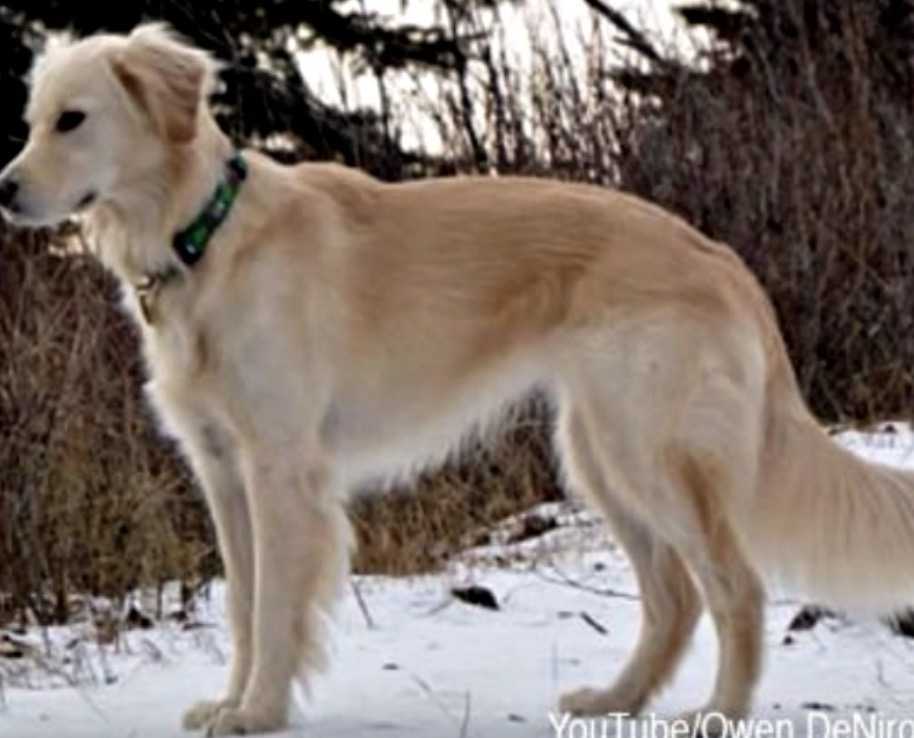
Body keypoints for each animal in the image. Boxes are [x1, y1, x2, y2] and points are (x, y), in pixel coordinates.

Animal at [3, 20, 908, 732]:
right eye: (32, 121)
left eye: (73, 121)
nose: (4, 191)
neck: (205, 236)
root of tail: (721, 258)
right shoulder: (223, 470)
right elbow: (244, 603)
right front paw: (231, 704)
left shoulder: (280, 469)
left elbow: (277, 608)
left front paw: (258, 712)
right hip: (599, 454)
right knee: (675, 601)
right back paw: (615, 701)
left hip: (650, 452)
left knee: (736, 589)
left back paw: (716, 713)